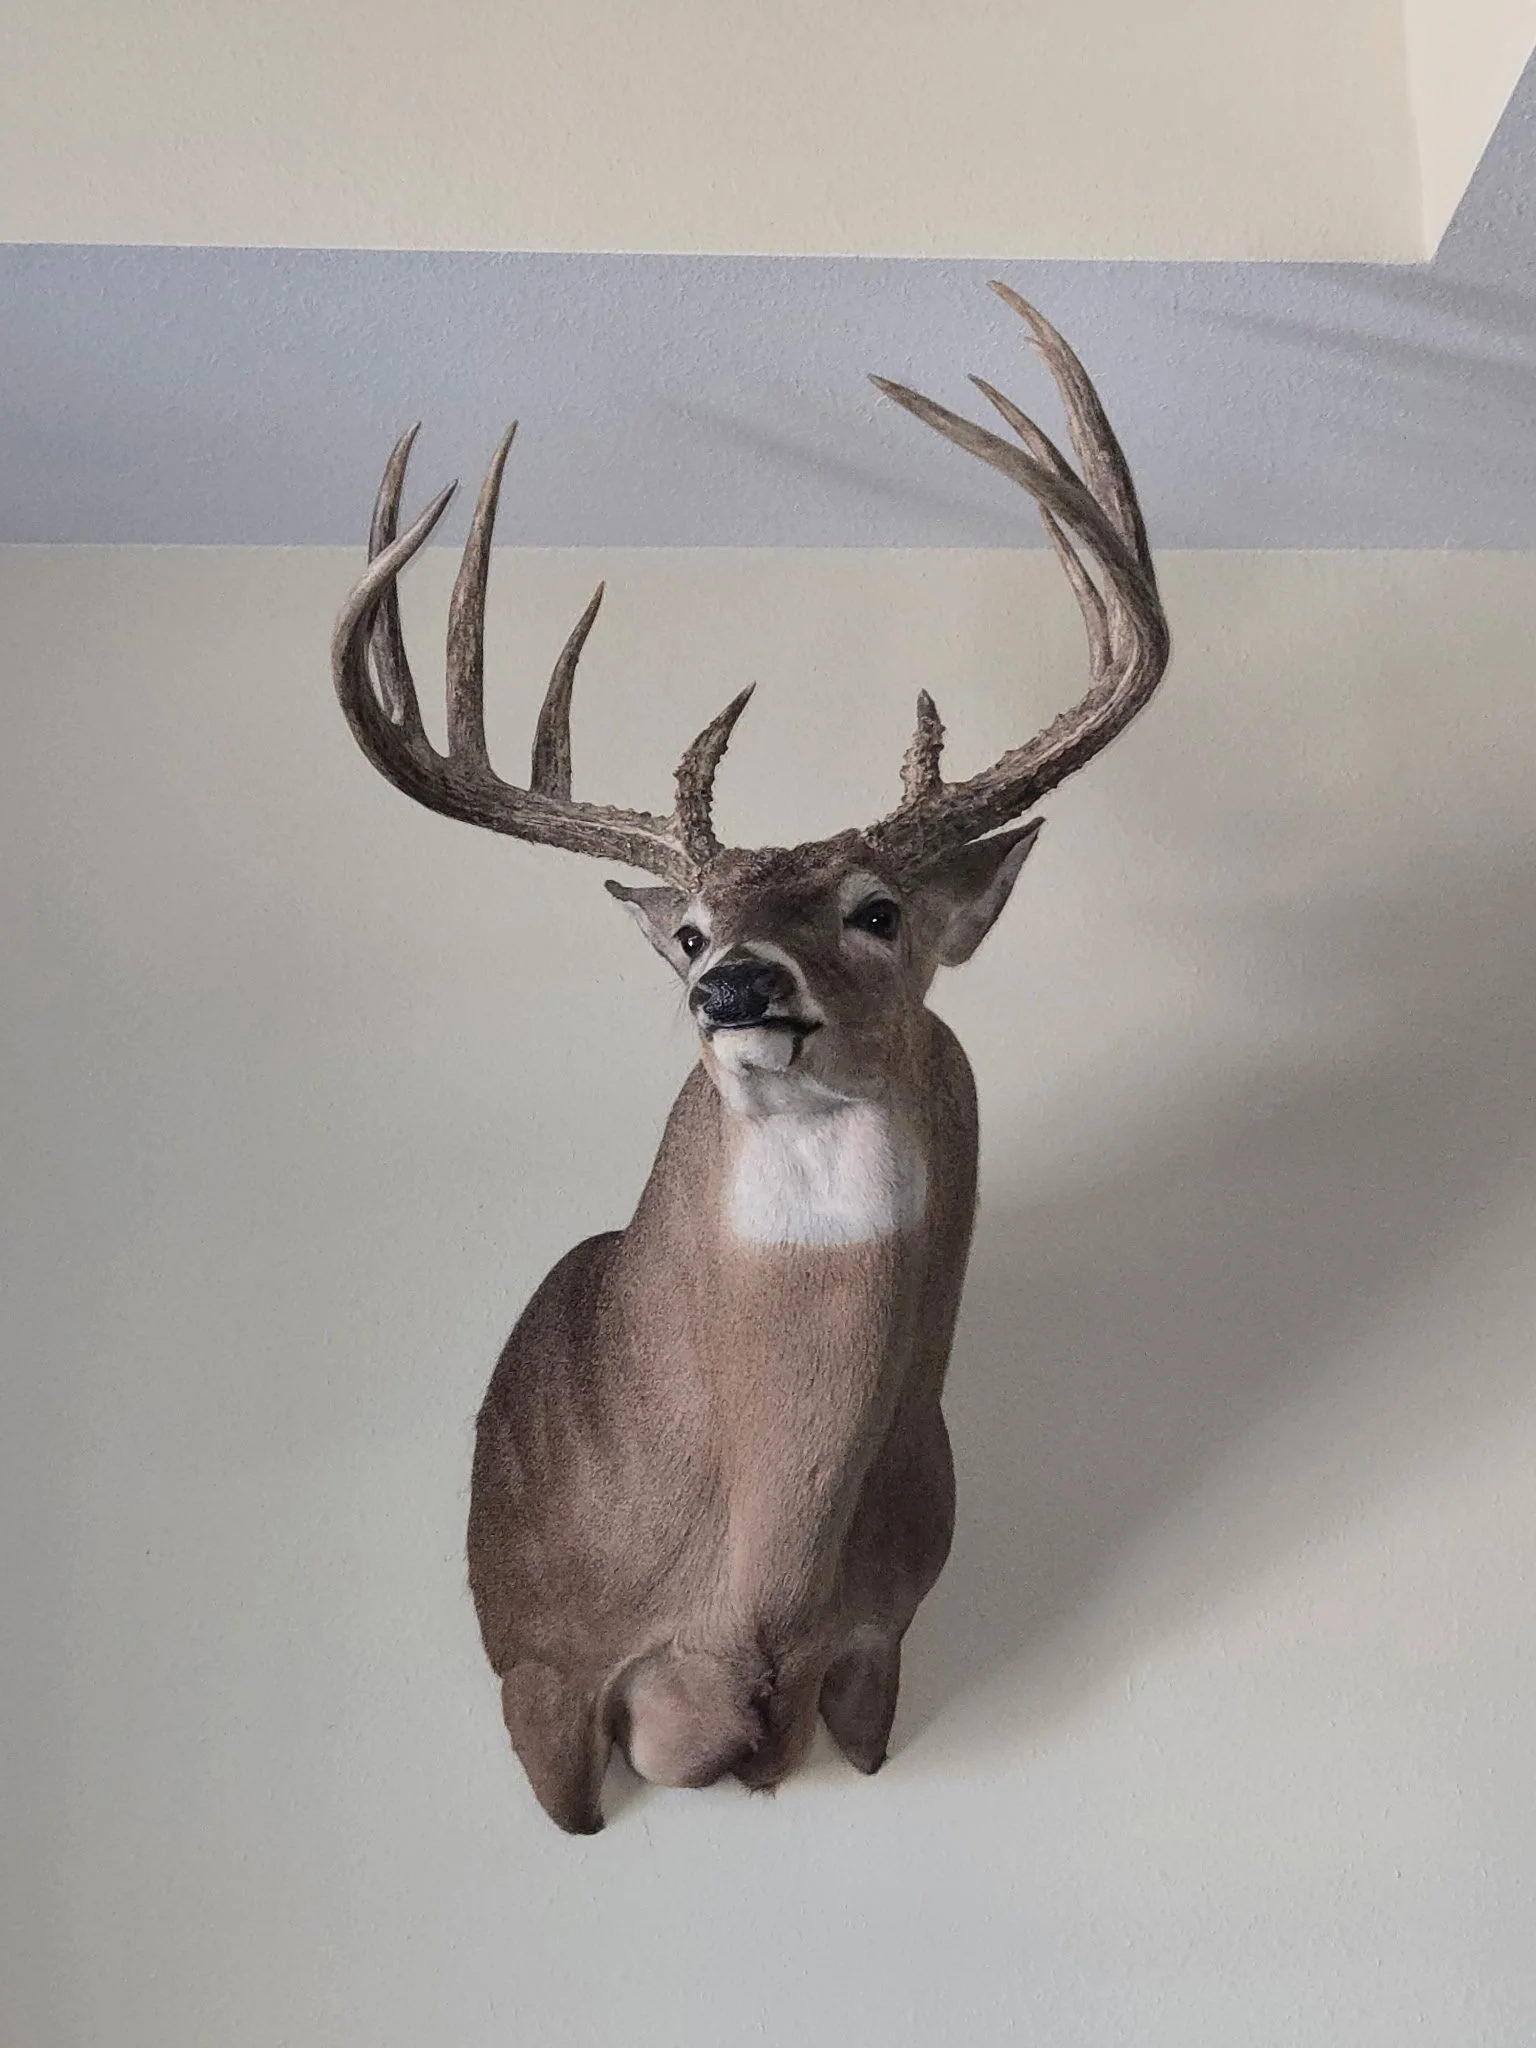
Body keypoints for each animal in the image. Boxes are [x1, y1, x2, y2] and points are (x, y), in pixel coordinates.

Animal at [330, 287, 1169, 1834]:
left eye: (879, 910)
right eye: (691, 931)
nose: (731, 987)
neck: (755, 1595)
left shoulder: (884, 1651)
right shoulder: (542, 1663)